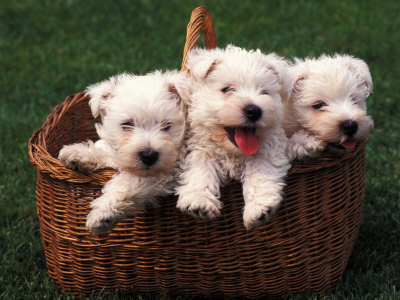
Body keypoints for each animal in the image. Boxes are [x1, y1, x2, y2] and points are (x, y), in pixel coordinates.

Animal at [58, 71, 189, 234]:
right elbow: (110, 153)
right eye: (127, 124)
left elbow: (127, 182)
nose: (149, 156)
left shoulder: (168, 171)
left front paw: (102, 214)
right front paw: (76, 154)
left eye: (166, 125)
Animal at [177, 45, 292, 230]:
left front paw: (259, 209)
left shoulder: (268, 148)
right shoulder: (200, 147)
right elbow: (200, 168)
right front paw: (198, 201)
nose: (254, 110)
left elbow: (260, 171)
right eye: (227, 89)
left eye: (264, 92)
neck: (233, 152)